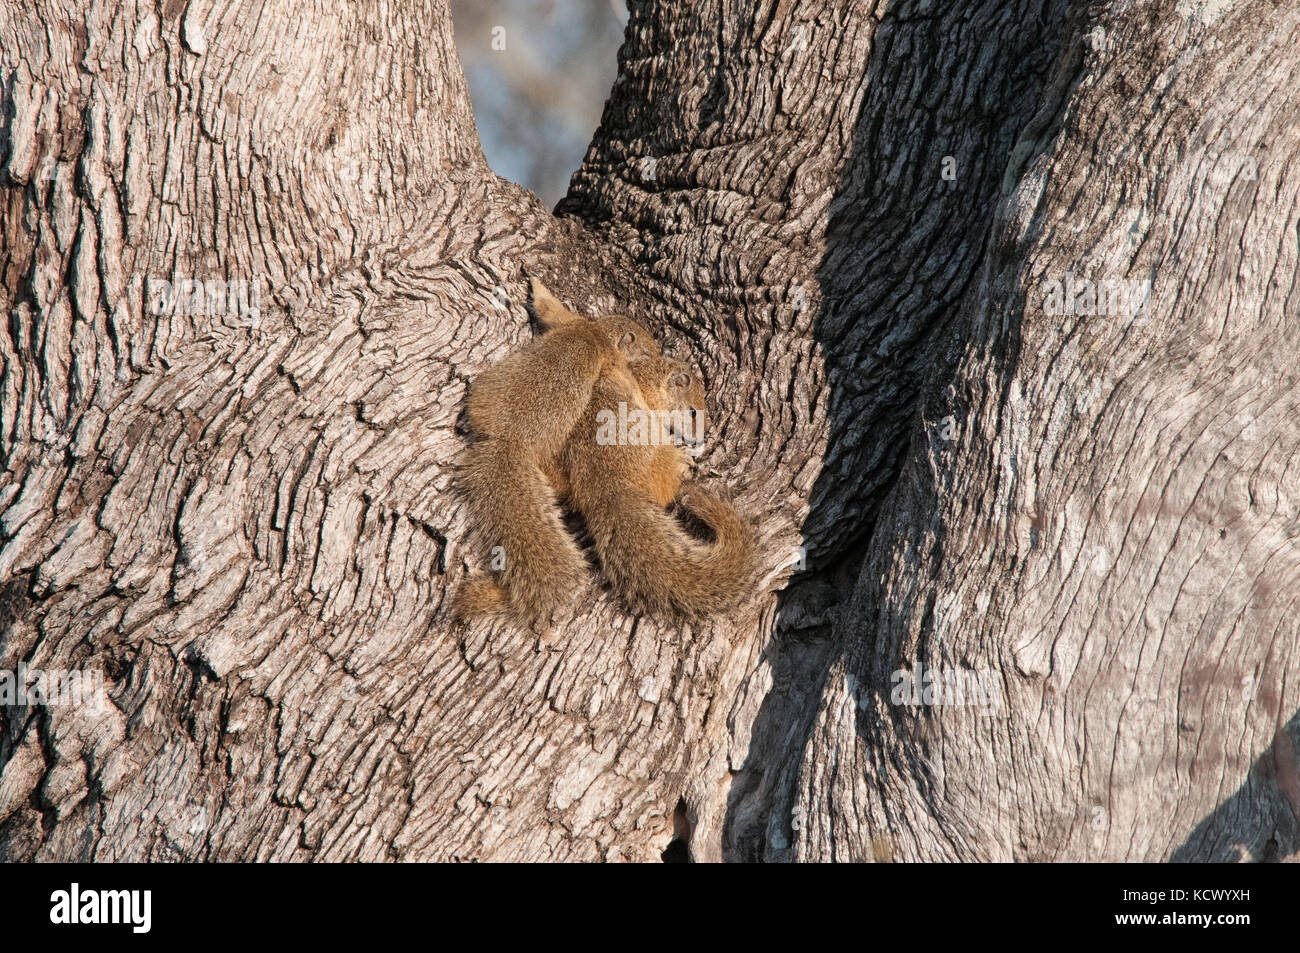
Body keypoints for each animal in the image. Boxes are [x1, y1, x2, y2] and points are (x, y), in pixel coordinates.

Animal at [457, 278, 660, 621]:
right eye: (646, 349)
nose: (659, 355)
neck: (596, 333)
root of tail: (510, 443)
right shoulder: (600, 349)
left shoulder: (577, 327)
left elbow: (549, 308)